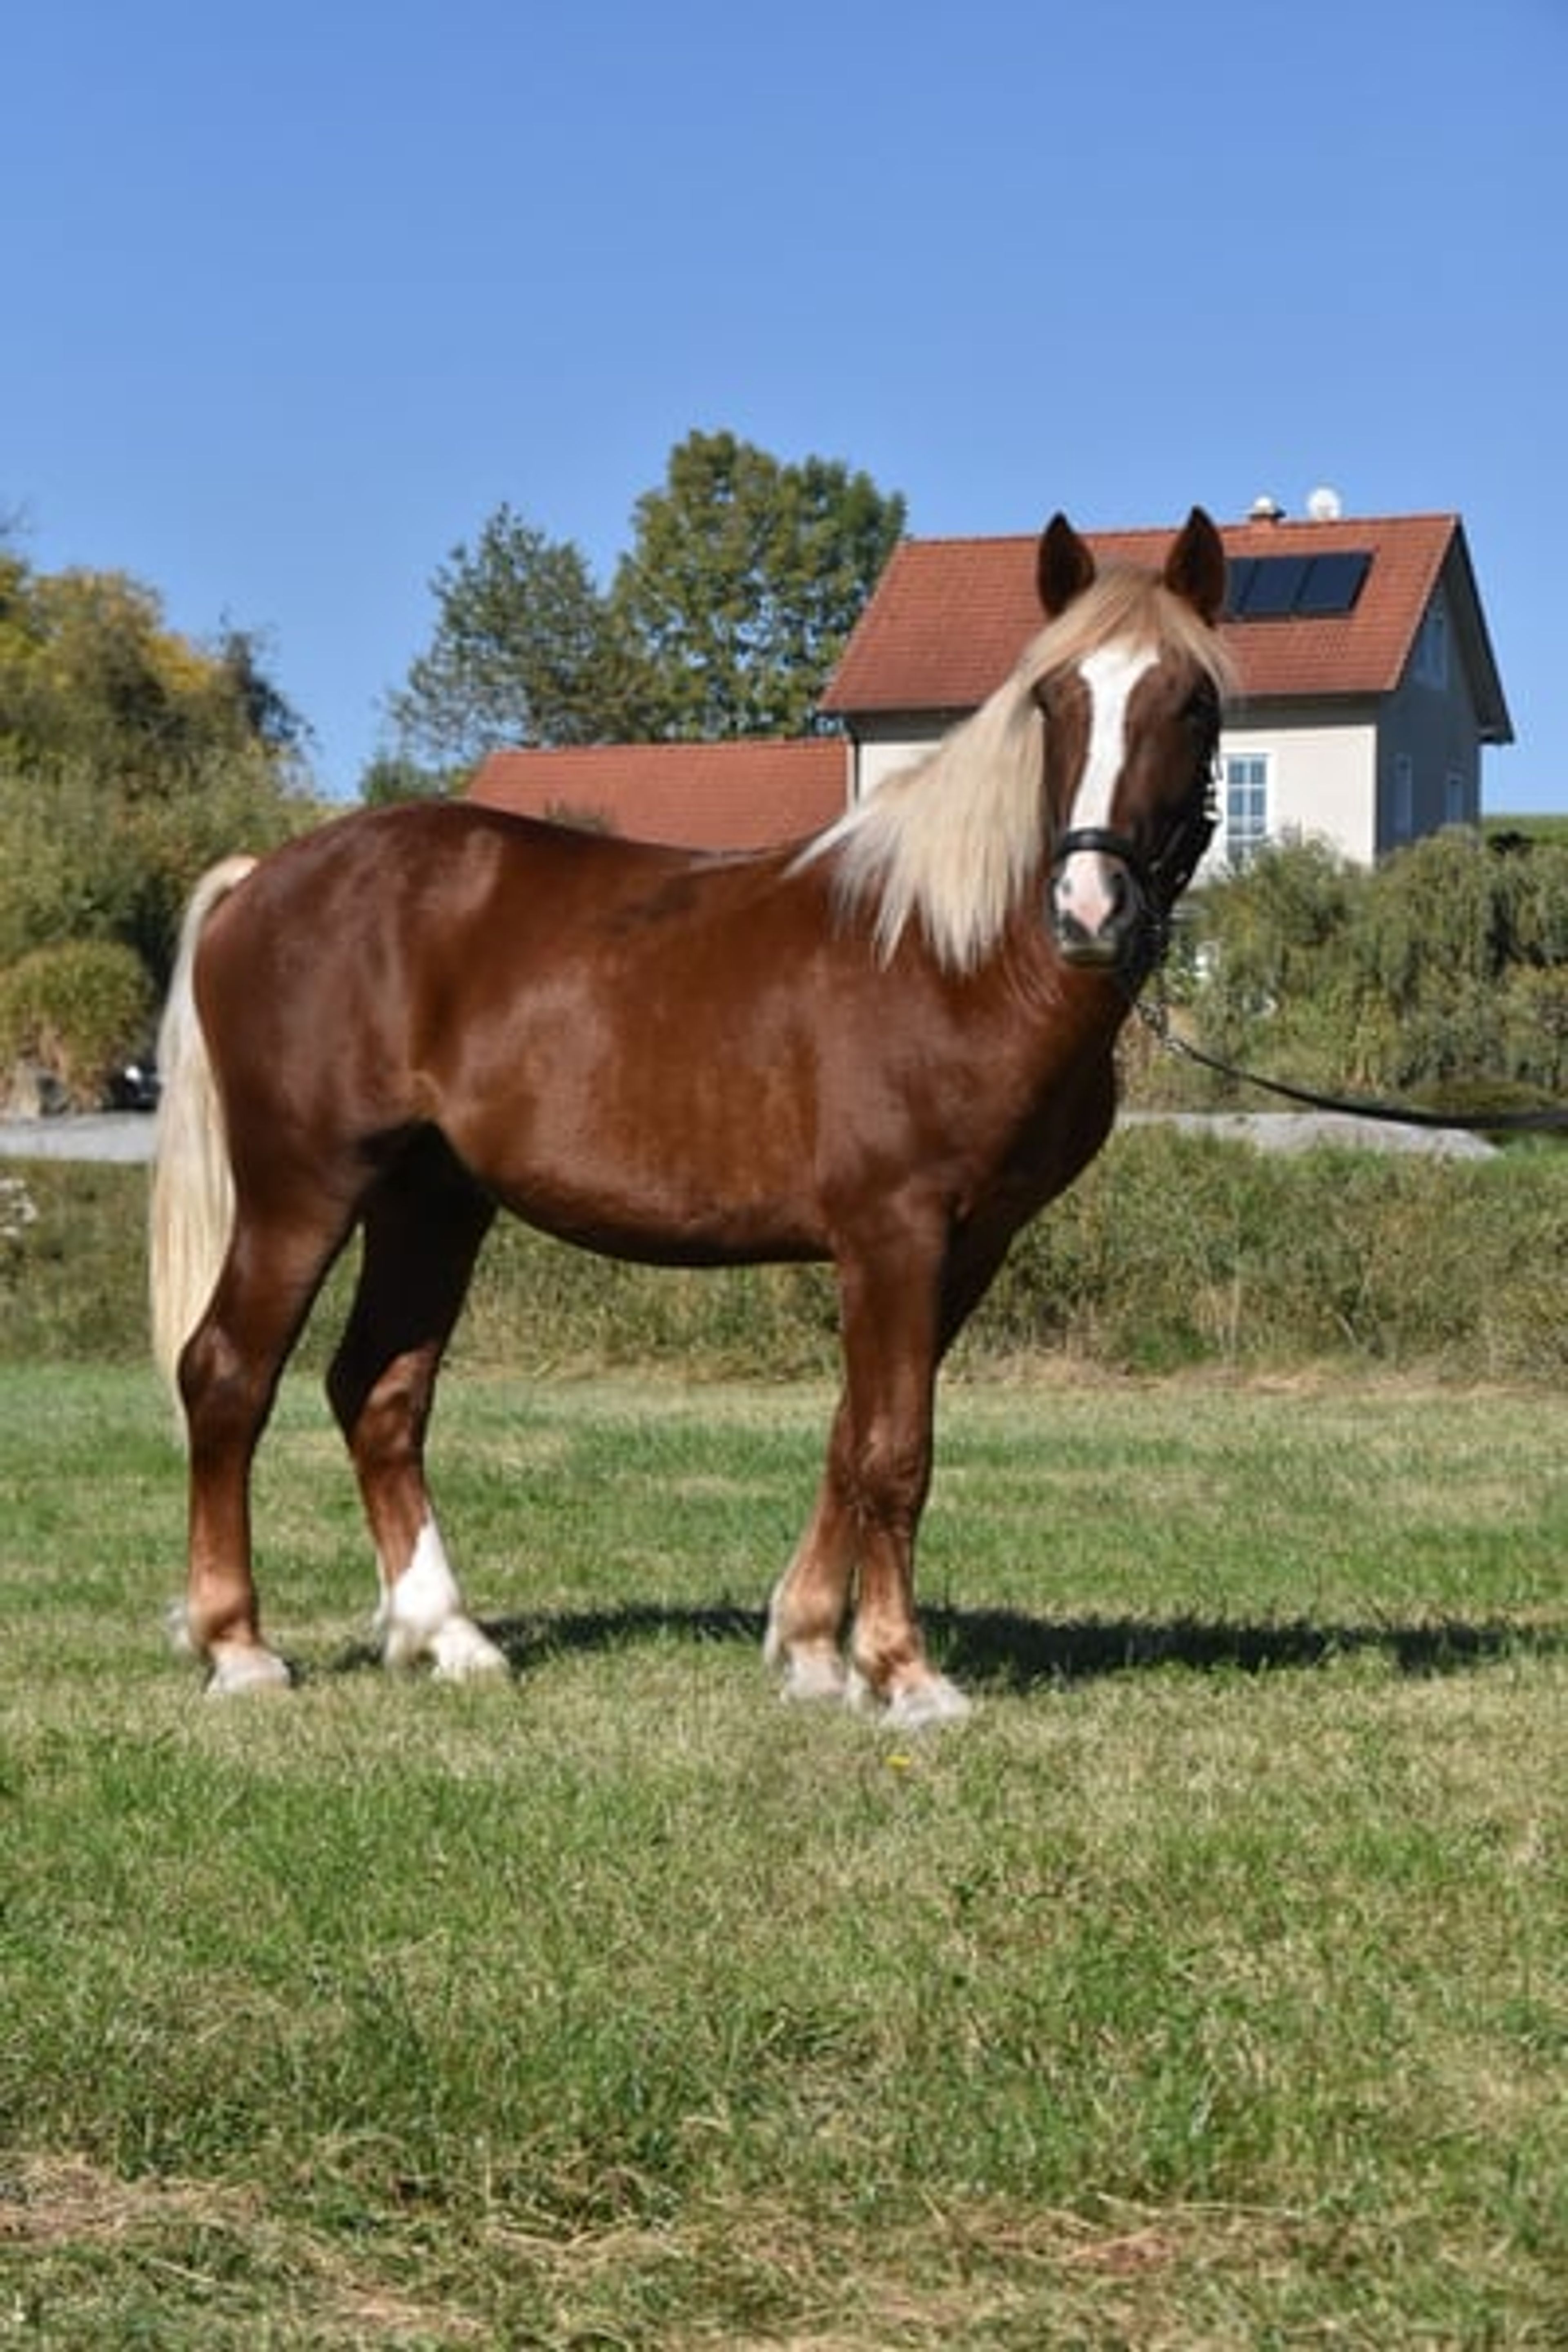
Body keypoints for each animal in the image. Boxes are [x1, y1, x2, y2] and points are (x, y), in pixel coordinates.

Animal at [149, 507, 1231, 1725]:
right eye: (1053, 700)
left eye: (1191, 701)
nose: (1090, 909)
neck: (953, 956)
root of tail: (260, 879)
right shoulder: (894, 1232)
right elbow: (895, 1447)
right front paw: (901, 1670)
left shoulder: (967, 1244)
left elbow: (850, 1435)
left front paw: (810, 1647)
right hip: (303, 1188)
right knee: (228, 1374)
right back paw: (238, 1645)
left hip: (432, 1202)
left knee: (378, 1390)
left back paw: (448, 1635)